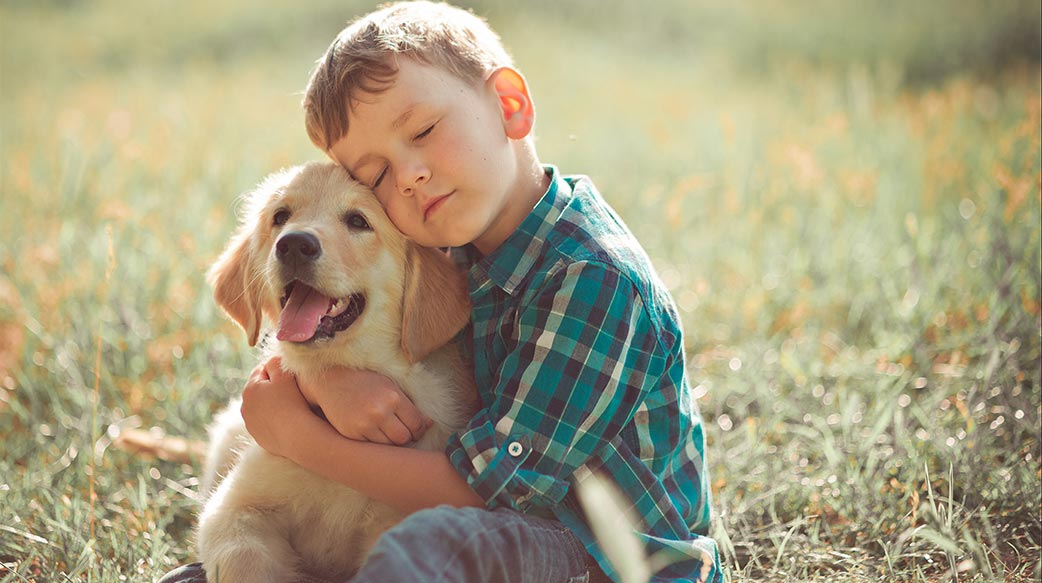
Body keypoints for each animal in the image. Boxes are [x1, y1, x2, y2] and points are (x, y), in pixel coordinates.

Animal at [197, 161, 477, 583]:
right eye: (281, 216)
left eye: (358, 221)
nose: (294, 245)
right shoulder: (234, 508)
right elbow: (243, 558)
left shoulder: (395, 519)